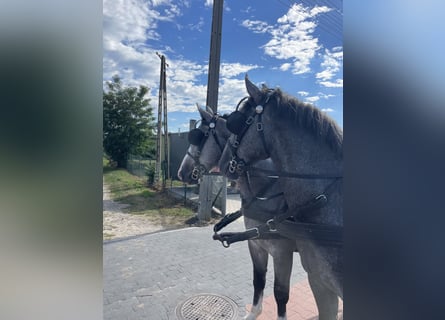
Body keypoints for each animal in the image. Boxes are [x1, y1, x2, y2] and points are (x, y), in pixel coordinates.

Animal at [176, 107, 294, 320]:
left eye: (199, 137)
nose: (181, 172)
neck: (268, 189)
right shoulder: (256, 244)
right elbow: (258, 280)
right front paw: (254, 312)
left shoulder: (283, 253)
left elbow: (281, 294)